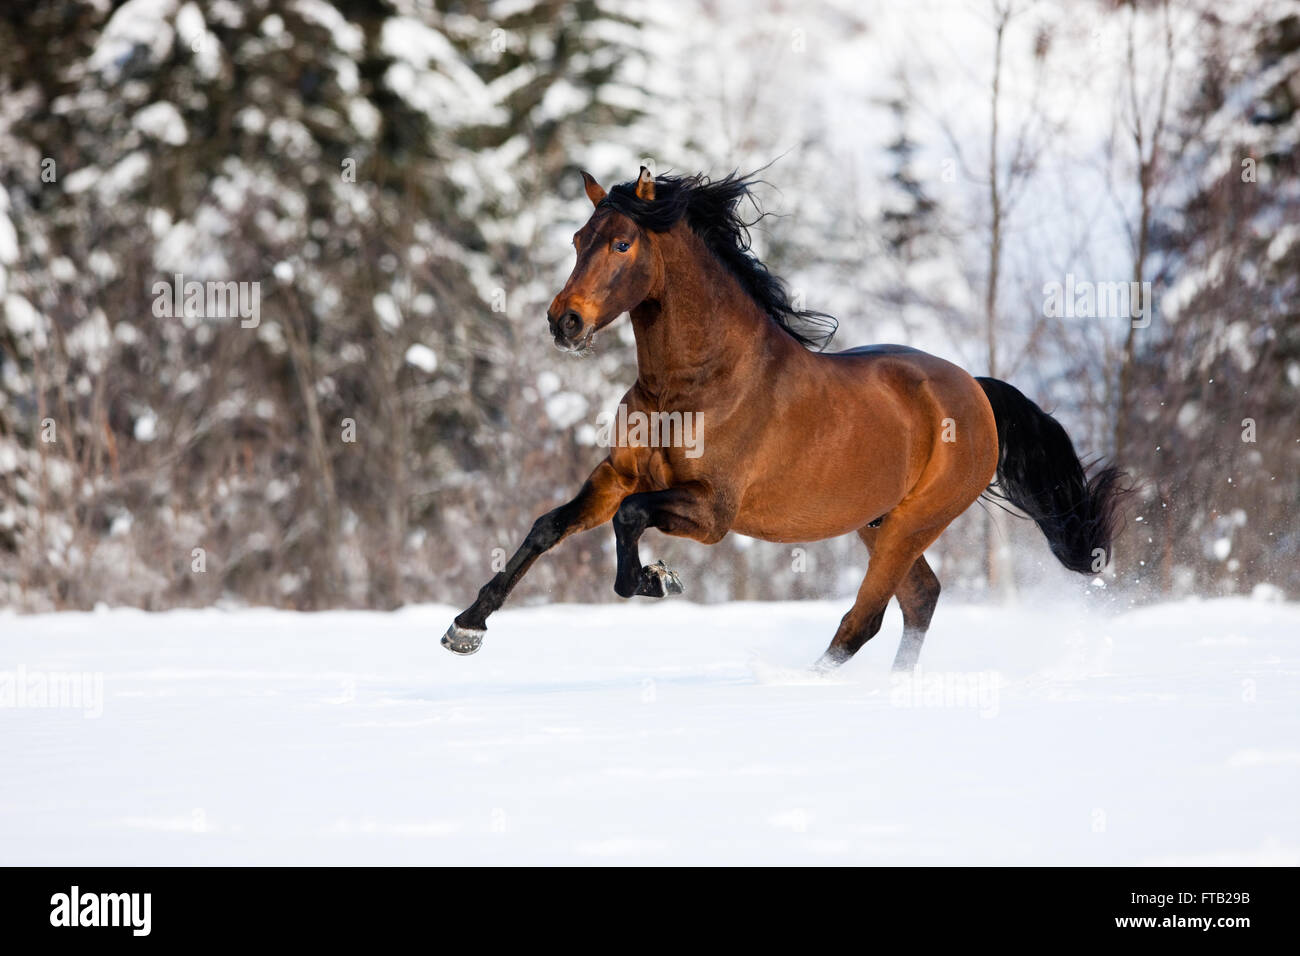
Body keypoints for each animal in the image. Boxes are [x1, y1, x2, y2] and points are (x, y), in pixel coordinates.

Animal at [441, 166, 1123, 671]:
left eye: (622, 242)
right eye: (579, 240)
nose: (565, 322)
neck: (694, 384)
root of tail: (974, 391)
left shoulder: (712, 512)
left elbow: (631, 522)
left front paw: (659, 579)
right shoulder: (617, 476)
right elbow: (547, 527)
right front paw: (466, 627)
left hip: (914, 521)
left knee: (866, 618)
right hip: (877, 519)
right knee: (920, 601)